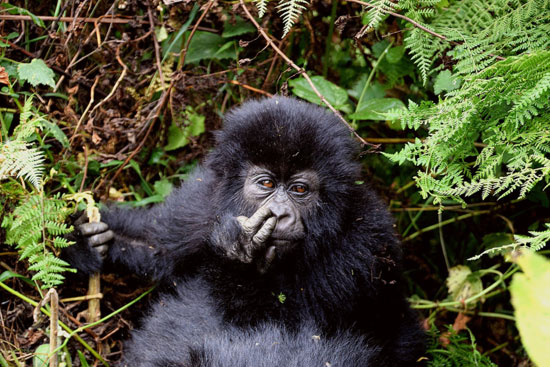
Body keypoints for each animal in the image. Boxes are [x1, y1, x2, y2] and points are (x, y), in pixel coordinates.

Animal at [64, 96, 426, 366]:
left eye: (299, 190)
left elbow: (292, 325)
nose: (279, 214)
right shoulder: (203, 204)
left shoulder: (364, 243)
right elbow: (156, 245)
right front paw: (86, 241)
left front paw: (239, 259)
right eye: (265, 184)